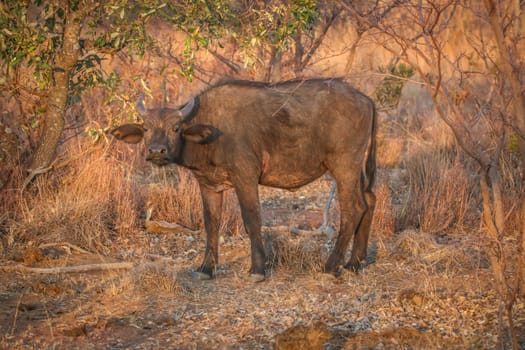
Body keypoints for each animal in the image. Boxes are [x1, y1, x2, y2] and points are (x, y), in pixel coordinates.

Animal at [112, 78, 376, 282]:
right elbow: (211, 224)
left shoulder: (245, 178)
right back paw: (355, 263)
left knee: (352, 210)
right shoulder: (209, 185)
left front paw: (257, 269)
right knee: (368, 202)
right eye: (146, 128)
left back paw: (331, 266)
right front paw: (206, 268)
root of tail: (365, 99)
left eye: (176, 128)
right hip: (358, 170)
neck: (211, 131)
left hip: (344, 167)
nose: (157, 151)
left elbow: (251, 220)